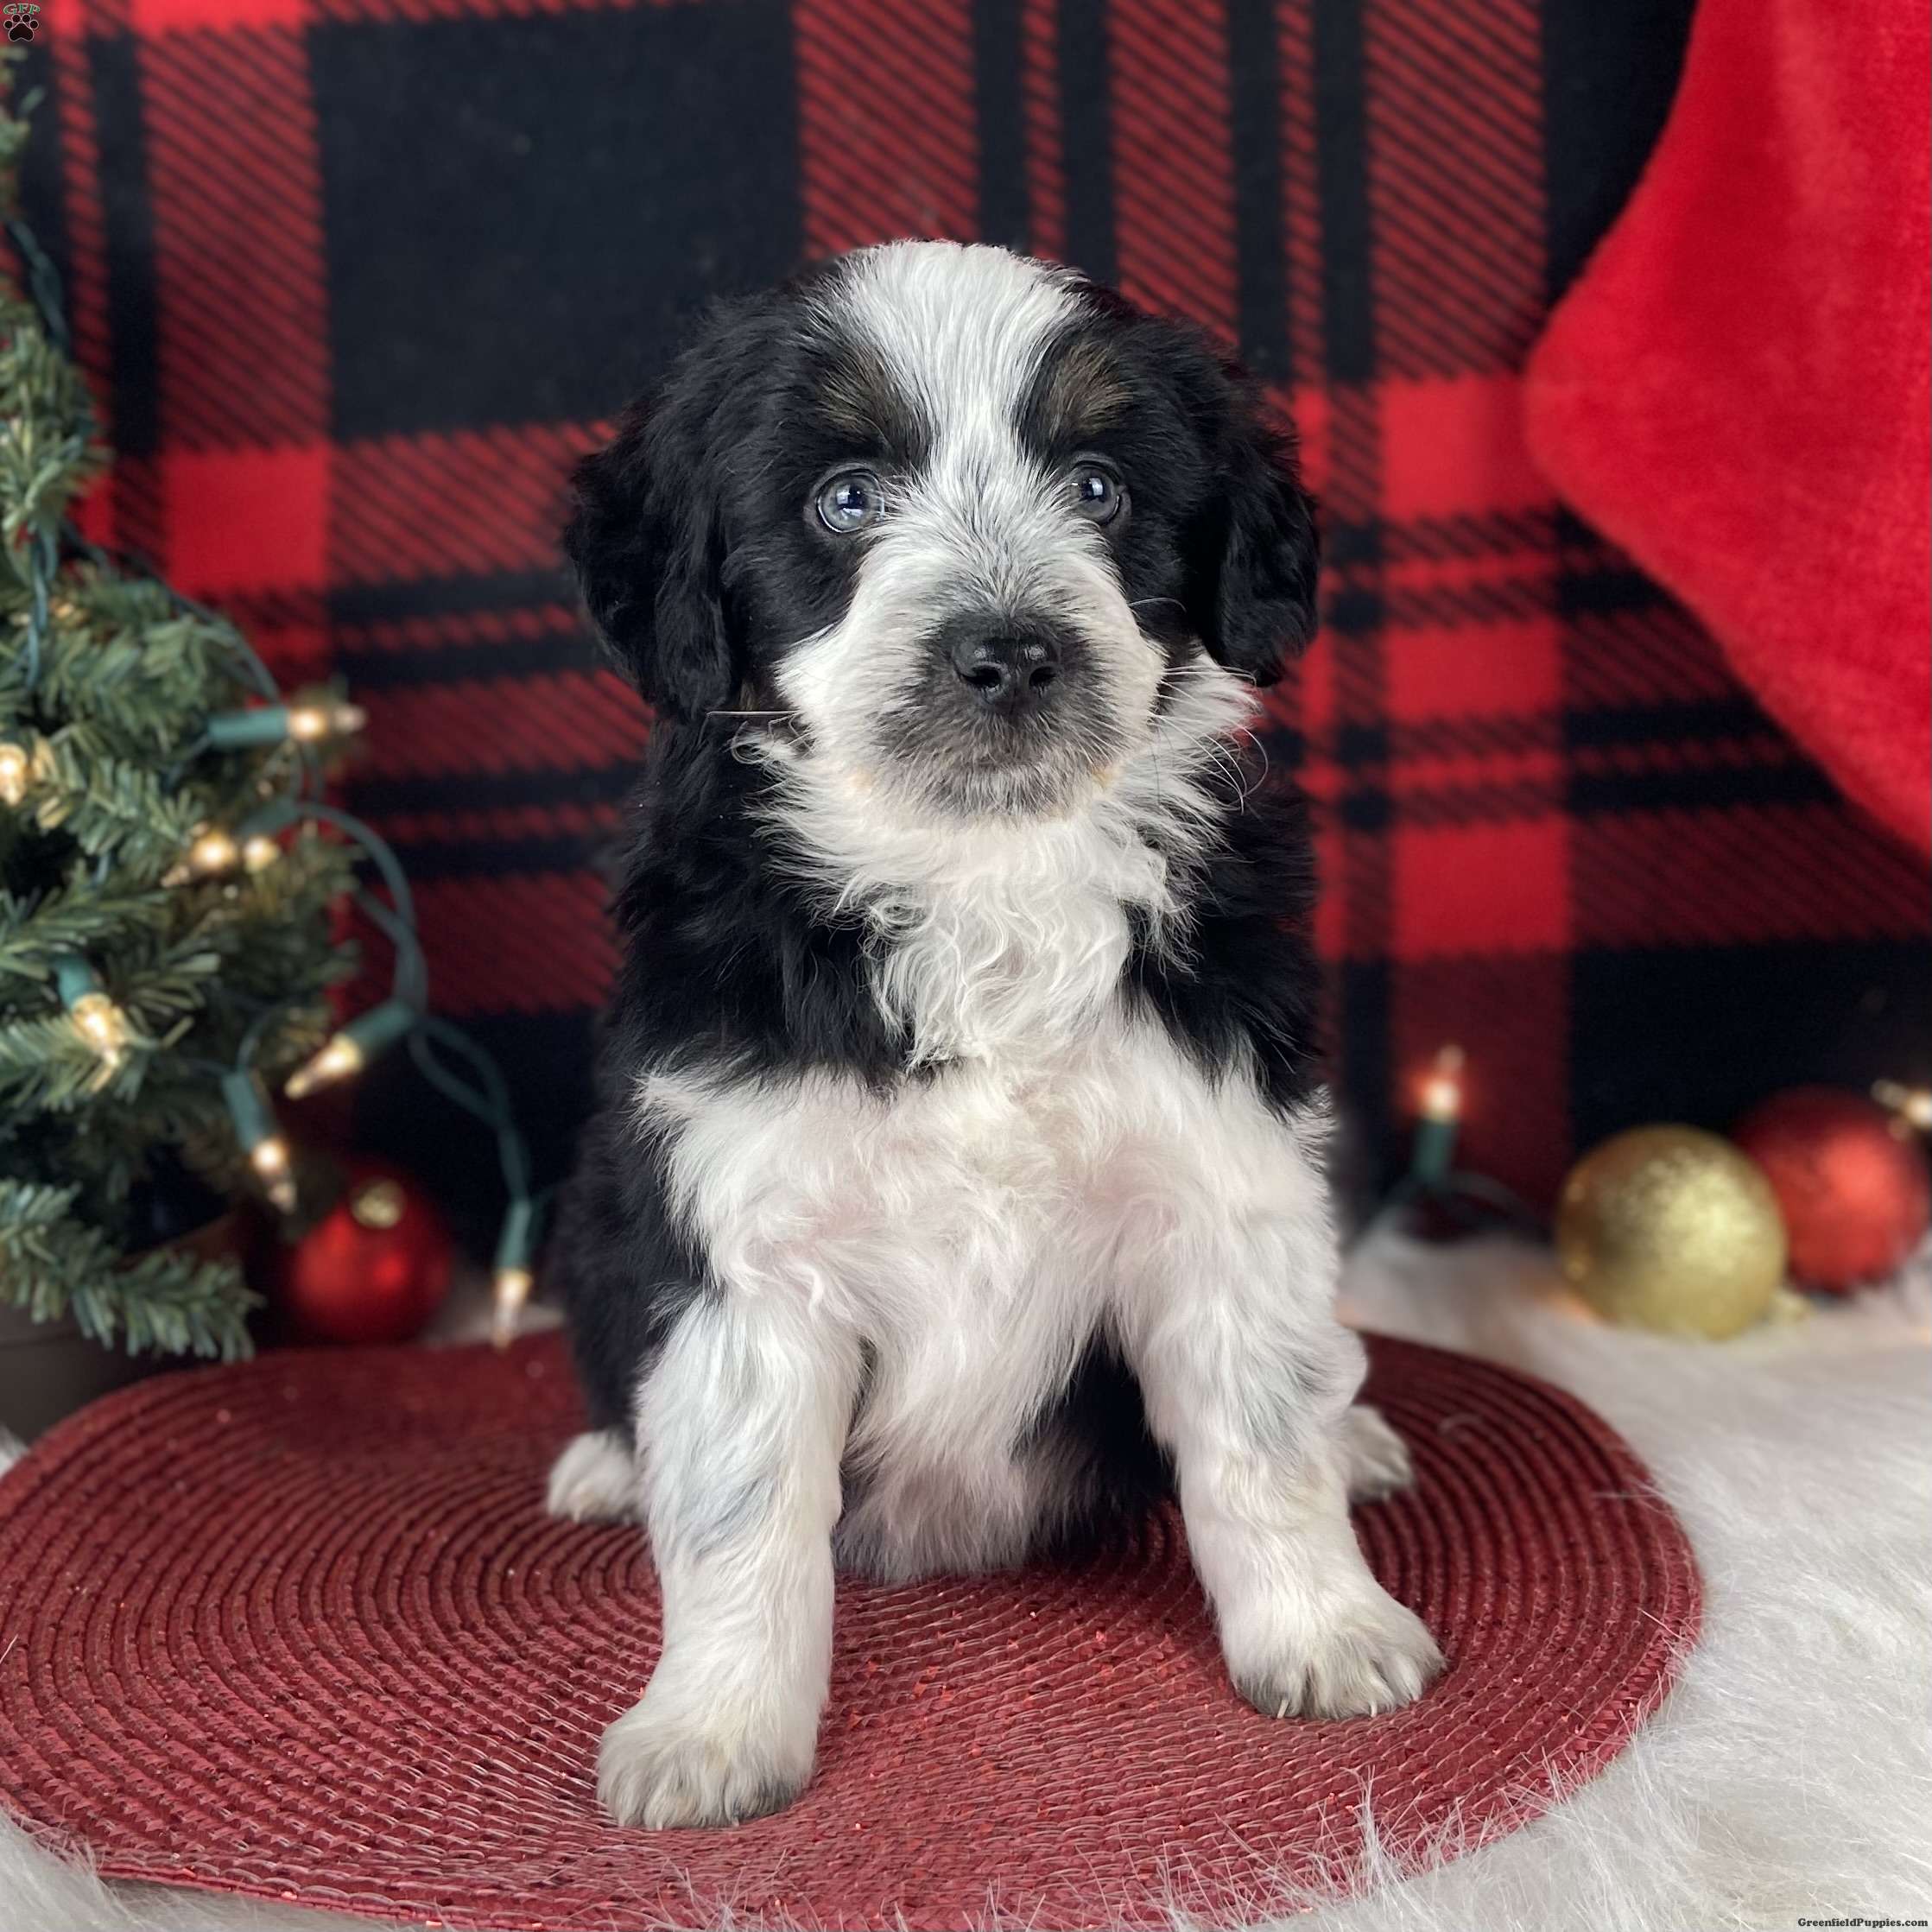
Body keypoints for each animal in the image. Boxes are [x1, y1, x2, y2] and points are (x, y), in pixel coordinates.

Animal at [544, 241, 1437, 1823]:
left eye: (1099, 485)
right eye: (844, 498)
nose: (1007, 651)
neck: (981, 878)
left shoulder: (1224, 1174)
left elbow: (1259, 1436)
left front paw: (1325, 1632)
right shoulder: (742, 1228)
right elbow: (734, 1509)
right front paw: (712, 1732)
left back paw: (1361, 1430)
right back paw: (605, 1460)